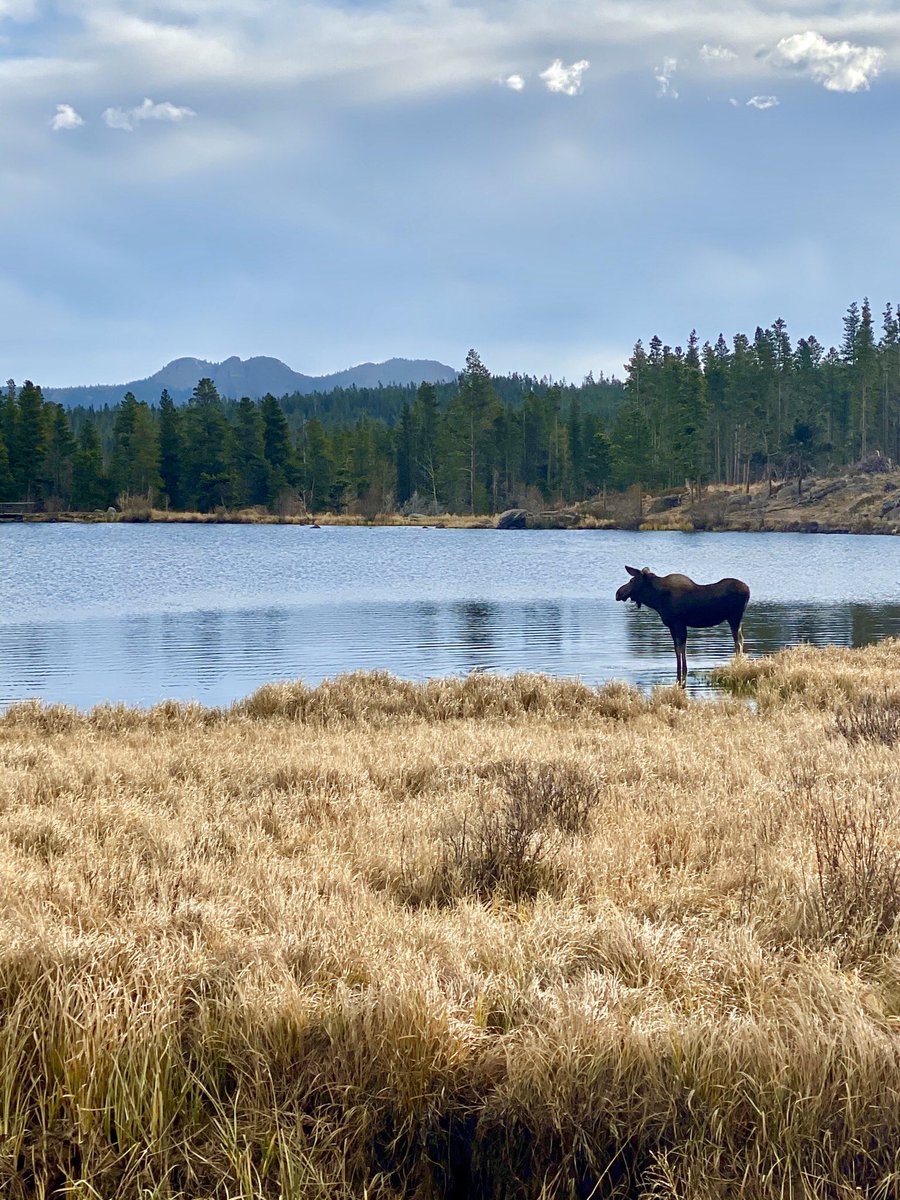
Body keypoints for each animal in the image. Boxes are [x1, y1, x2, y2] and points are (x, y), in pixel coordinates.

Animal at [615, 566, 750, 687]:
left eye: (632, 580)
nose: (618, 593)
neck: (656, 599)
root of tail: (748, 590)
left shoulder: (678, 623)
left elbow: (681, 648)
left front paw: (683, 669)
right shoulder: (672, 626)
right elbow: (677, 648)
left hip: (734, 618)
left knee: (738, 642)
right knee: (741, 640)